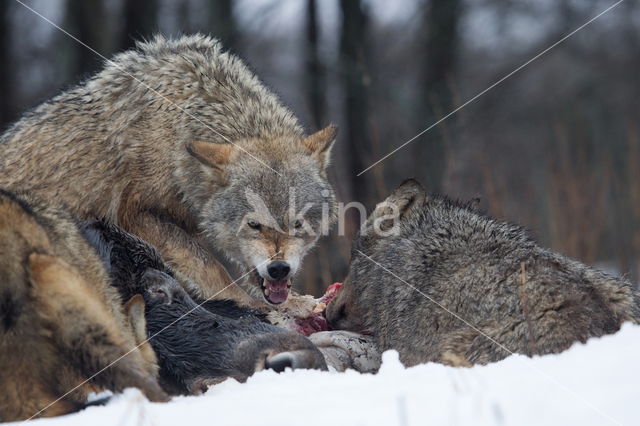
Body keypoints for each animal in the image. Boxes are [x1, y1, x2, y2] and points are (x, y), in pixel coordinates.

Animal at [0, 34, 338, 306]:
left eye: (297, 223)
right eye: (253, 225)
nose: (279, 269)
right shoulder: (134, 214)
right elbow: (210, 268)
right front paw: (248, 305)